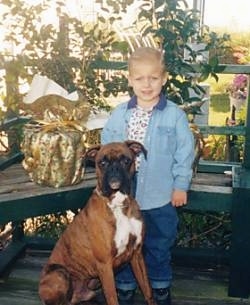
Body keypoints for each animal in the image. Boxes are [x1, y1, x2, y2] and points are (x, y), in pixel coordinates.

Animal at [38, 140, 156, 304]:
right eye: (102, 162)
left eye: (126, 160)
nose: (114, 169)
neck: (118, 204)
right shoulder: (105, 265)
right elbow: (112, 298)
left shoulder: (137, 255)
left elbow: (148, 290)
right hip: (60, 273)